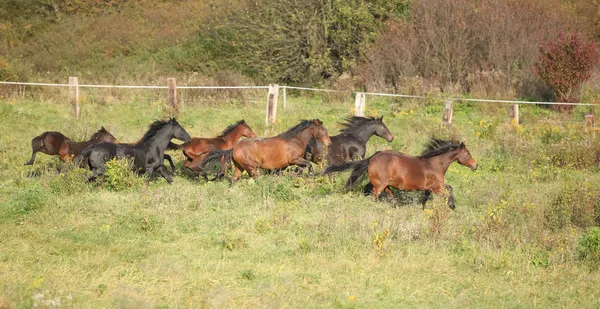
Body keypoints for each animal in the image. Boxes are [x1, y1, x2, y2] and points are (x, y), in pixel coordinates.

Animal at [202, 118, 332, 183]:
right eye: (322, 129)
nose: (329, 143)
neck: (295, 140)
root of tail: (234, 148)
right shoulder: (294, 159)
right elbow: (308, 164)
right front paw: (312, 176)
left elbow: (302, 167)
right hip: (252, 168)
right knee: (256, 179)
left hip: (239, 167)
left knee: (233, 180)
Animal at [324, 139, 478, 209]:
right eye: (468, 153)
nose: (475, 165)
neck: (434, 164)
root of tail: (373, 157)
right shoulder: (437, 188)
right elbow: (449, 191)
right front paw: (452, 205)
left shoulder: (431, 187)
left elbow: (430, 196)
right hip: (380, 186)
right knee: (373, 196)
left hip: (385, 185)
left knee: (387, 197)